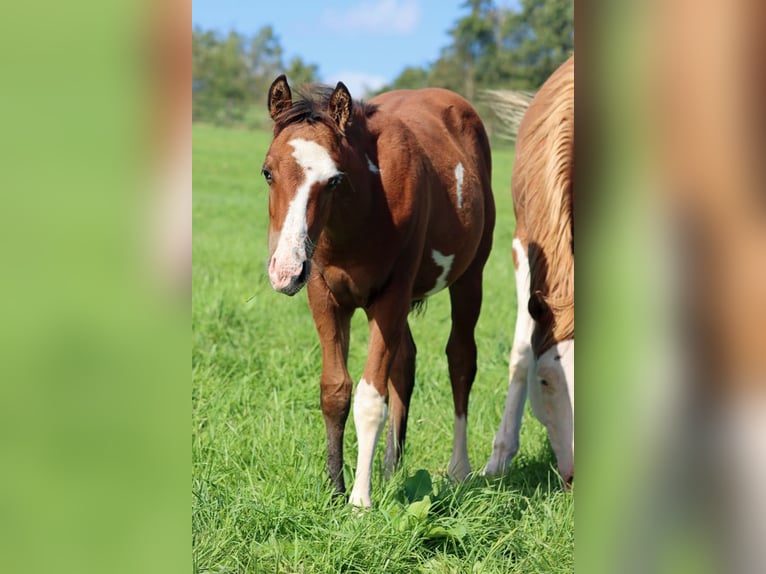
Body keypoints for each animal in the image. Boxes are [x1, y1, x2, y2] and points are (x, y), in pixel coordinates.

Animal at [262, 75, 496, 506]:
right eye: (268, 172)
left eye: (334, 179)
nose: (285, 271)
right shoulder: (324, 295)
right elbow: (335, 390)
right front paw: (335, 489)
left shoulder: (391, 295)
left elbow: (371, 398)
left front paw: (360, 501)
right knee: (405, 363)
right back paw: (391, 467)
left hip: (470, 276)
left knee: (460, 359)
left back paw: (459, 468)